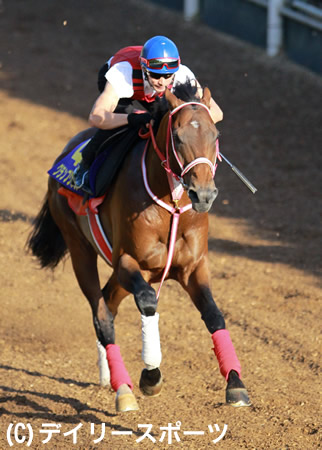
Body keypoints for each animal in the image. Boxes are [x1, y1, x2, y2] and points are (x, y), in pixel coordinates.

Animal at [27, 81, 252, 412]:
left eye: (215, 135)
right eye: (178, 137)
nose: (204, 194)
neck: (172, 206)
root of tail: (67, 150)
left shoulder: (192, 267)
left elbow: (214, 314)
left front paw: (235, 383)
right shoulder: (128, 262)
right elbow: (148, 303)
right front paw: (150, 375)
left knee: (107, 302)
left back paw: (108, 375)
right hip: (79, 248)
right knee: (102, 313)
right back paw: (123, 389)